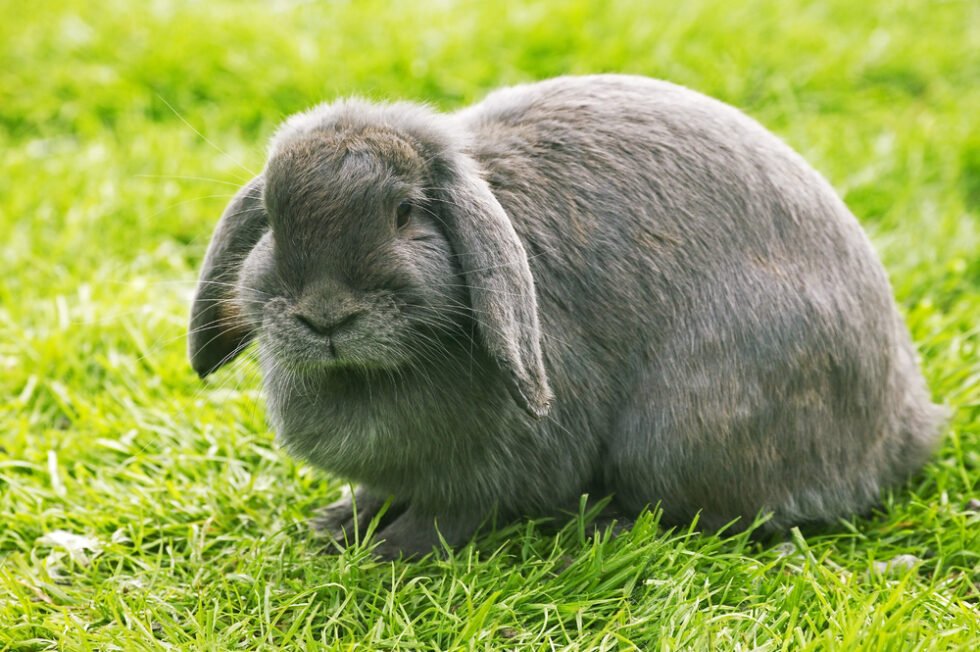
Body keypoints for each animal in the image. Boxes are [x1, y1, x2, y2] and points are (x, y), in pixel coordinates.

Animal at [189, 74, 946, 559]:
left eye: (405, 214)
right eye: (273, 222)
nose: (325, 316)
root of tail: (905, 427)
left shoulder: (497, 466)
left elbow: (449, 512)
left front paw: (390, 554)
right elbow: (382, 490)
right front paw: (339, 524)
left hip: (678, 431)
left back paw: (602, 529)